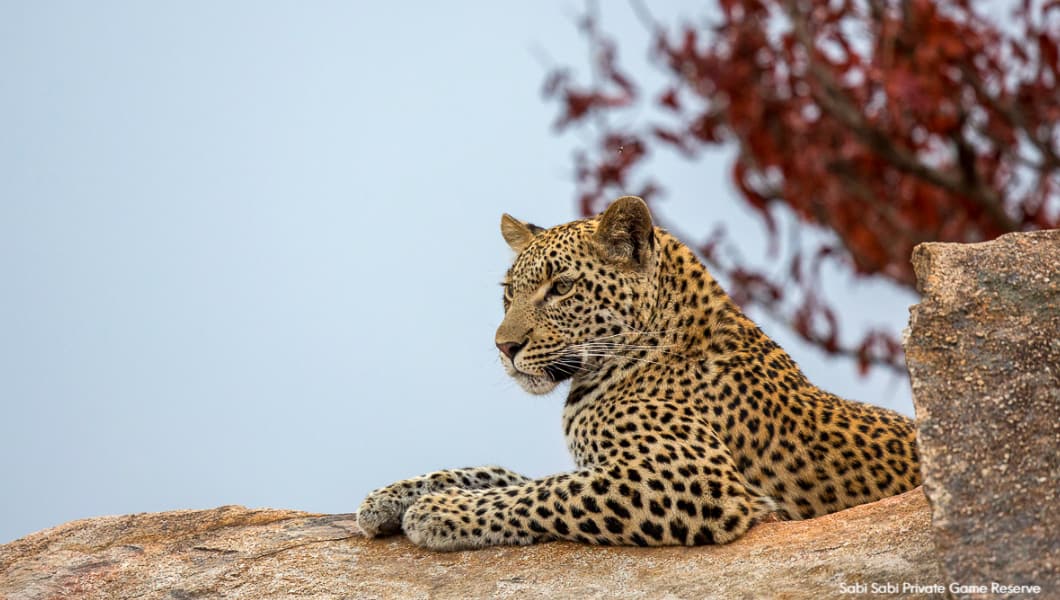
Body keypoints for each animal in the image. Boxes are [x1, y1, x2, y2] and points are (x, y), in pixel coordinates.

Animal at [356, 196, 920, 551]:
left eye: (561, 287)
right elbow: (499, 474)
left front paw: (439, 512)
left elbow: (540, 493)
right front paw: (390, 497)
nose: (504, 347)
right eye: (508, 293)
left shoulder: (693, 480)